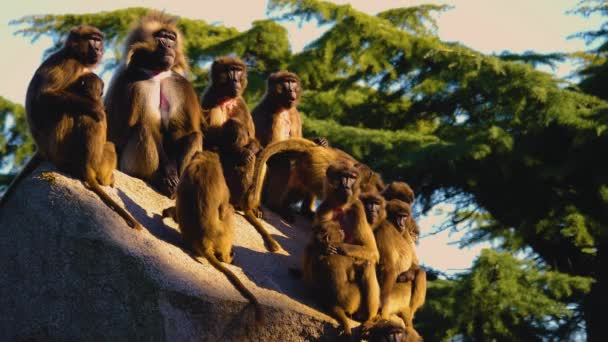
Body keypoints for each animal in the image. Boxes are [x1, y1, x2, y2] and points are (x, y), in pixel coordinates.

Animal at [0, 26, 141, 230]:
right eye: (93, 39)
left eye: (99, 40)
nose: (99, 48)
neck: (76, 57)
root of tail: (42, 148)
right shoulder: (69, 65)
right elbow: (43, 97)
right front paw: (96, 109)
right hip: (57, 147)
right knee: (66, 112)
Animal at [103, 12, 201, 199]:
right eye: (162, 37)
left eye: (171, 38)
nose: (169, 45)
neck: (157, 73)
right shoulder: (132, 82)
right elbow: (142, 126)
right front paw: (168, 174)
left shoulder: (179, 85)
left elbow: (181, 132)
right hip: (127, 165)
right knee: (144, 128)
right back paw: (156, 178)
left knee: (194, 136)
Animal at [163, 152, 264, 324]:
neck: (205, 161)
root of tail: (203, 241)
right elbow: (223, 208)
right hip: (222, 234)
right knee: (228, 211)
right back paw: (227, 257)